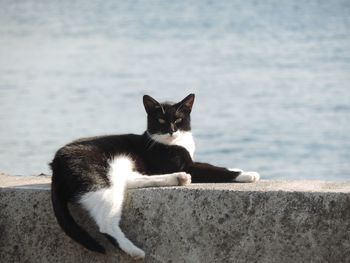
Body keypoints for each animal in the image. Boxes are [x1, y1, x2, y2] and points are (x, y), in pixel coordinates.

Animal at [51, 94, 260, 260]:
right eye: (160, 120)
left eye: (178, 119)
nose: (171, 129)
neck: (174, 142)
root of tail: (56, 162)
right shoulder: (187, 165)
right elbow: (213, 169)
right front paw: (247, 174)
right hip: (100, 180)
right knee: (106, 223)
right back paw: (135, 251)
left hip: (119, 170)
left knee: (131, 181)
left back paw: (178, 179)